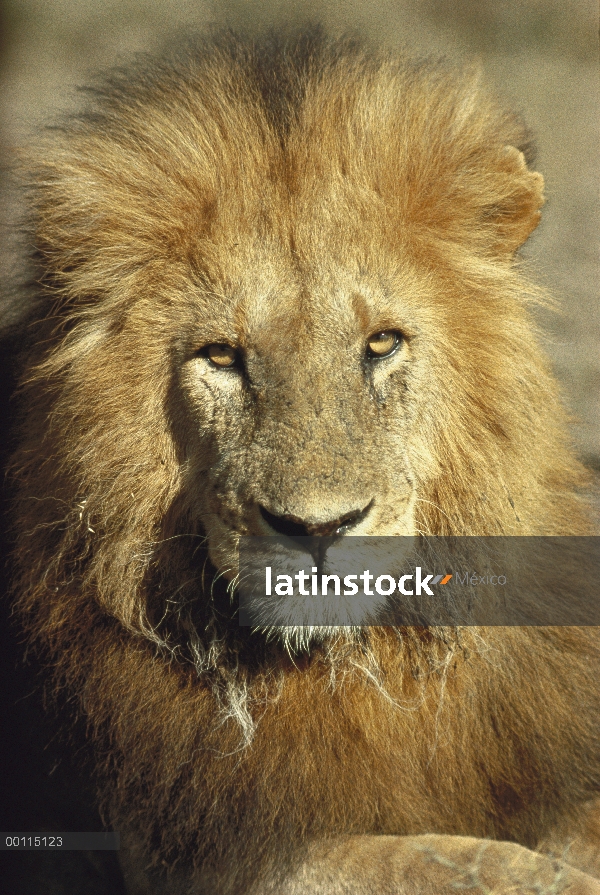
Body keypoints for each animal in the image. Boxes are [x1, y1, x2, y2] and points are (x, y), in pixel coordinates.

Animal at [5, 28, 600, 895]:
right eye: (222, 356)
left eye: (381, 343)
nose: (318, 529)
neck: (357, 669)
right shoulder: (222, 852)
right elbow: (454, 861)